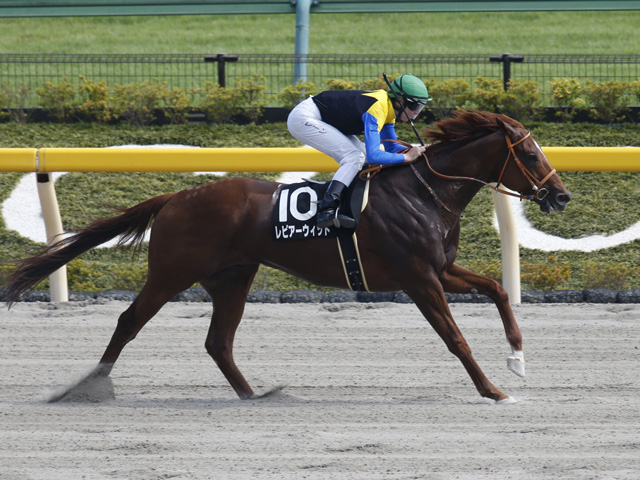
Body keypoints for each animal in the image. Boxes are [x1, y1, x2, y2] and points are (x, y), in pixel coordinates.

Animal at [0, 109, 568, 404]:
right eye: (531, 153)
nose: (560, 196)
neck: (425, 193)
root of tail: (177, 196)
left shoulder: (441, 269)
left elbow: (497, 290)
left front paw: (517, 361)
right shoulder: (418, 278)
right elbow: (455, 338)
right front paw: (493, 390)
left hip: (233, 276)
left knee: (218, 341)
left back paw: (254, 395)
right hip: (172, 272)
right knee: (128, 321)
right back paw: (90, 385)